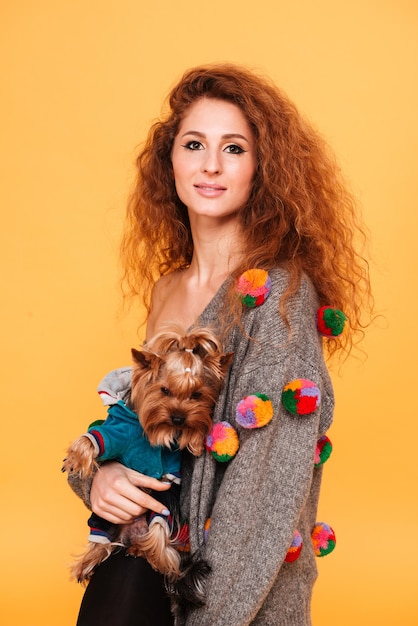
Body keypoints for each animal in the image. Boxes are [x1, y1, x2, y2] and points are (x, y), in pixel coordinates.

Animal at [62, 324, 232, 592]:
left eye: (196, 395)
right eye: (164, 390)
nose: (178, 418)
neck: (155, 431)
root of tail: (132, 532)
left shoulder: (170, 469)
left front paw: (194, 441)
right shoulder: (118, 432)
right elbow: (97, 439)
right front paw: (77, 458)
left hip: (162, 507)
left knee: (158, 531)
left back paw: (151, 554)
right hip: (105, 516)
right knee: (101, 537)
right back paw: (88, 562)